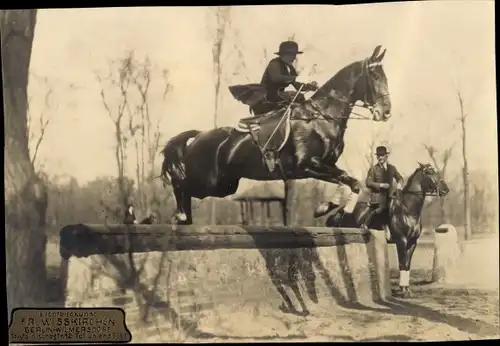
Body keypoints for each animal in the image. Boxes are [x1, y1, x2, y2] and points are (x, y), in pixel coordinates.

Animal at [159, 45, 390, 224]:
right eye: (375, 77)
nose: (386, 112)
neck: (321, 117)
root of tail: (199, 135)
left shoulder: (325, 165)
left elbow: (350, 181)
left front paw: (326, 207)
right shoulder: (307, 165)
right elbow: (348, 179)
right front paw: (325, 208)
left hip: (224, 185)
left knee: (188, 190)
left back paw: (184, 219)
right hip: (209, 179)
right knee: (180, 183)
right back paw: (180, 215)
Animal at [318, 162, 452, 298]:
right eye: (430, 172)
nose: (445, 190)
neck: (408, 210)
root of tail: (340, 214)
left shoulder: (412, 242)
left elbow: (407, 265)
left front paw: (407, 289)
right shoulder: (401, 241)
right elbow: (402, 263)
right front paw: (403, 290)